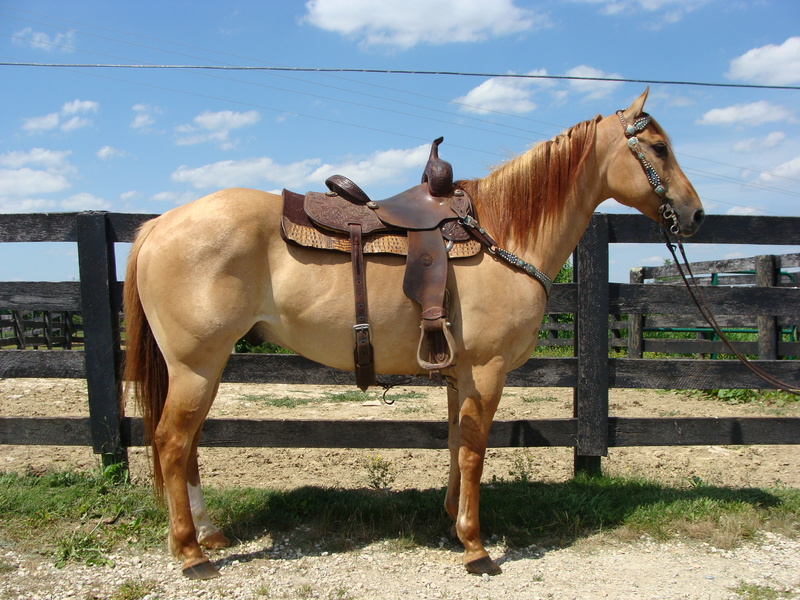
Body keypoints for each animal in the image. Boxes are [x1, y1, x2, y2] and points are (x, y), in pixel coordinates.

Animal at [123, 88, 704, 579]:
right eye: (658, 147)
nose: (696, 214)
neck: (504, 233)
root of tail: (160, 224)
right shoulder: (486, 373)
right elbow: (473, 452)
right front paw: (475, 546)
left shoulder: (459, 373)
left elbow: (454, 443)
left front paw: (453, 521)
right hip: (196, 365)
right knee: (172, 442)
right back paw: (192, 554)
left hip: (204, 367)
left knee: (188, 444)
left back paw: (208, 535)